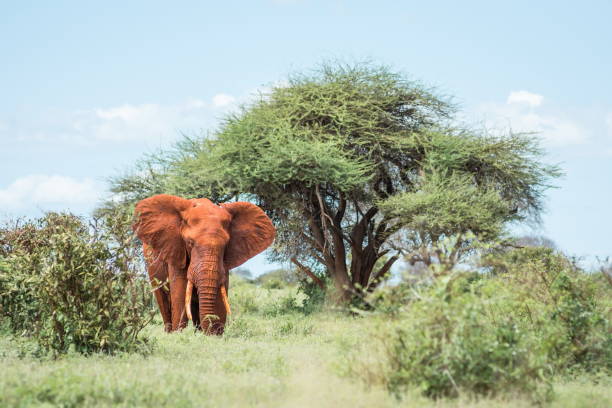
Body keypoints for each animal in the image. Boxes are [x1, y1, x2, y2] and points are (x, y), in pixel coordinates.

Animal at [135, 194, 276, 334]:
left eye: (225, 245)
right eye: (189, 242)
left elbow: (220, 293)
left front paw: (213, 334)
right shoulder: (176, 249)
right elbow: (180, 291)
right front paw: (179, 333)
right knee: (163, 299)